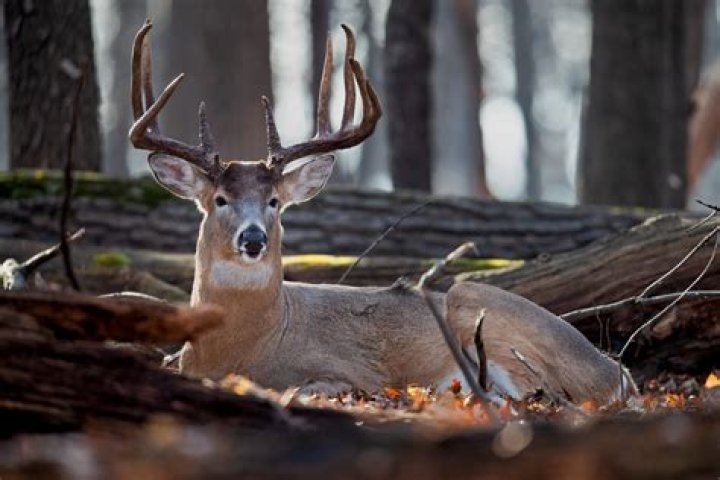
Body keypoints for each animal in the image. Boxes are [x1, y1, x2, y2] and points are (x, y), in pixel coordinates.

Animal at [129, 21, 636, 403]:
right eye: (219, 200)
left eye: (274, 202)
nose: (253, 239)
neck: (241, 348)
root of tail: (616, 372)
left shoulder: (351, 372)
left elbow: (312, 388)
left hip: (481, 308)